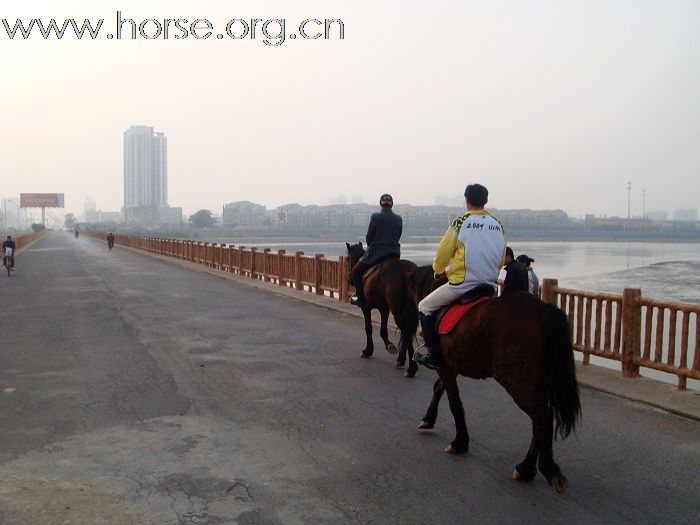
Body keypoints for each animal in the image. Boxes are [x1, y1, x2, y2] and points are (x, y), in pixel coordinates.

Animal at [346, 244, 418, 374]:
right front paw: (388, 345)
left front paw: (368, 351)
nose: (349, 279)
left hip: (398, 312)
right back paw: (401, 360)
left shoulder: (366, 308)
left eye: (348, 259)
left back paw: (411, 368)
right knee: (406, 333)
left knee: (406, 332)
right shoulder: (384, 308)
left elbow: (368, 328)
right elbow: (383, 330)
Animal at [410, 266, 580, 492]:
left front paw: (460, 442)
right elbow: (439, 389)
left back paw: (526, 469)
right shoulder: (451, 366)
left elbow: (454, 402)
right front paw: (429, 419)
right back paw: (547, 468)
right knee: (547, 416)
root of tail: (541, 309)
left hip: (518, 381)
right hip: (538, 379)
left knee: (541, 417)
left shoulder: (445, 366)